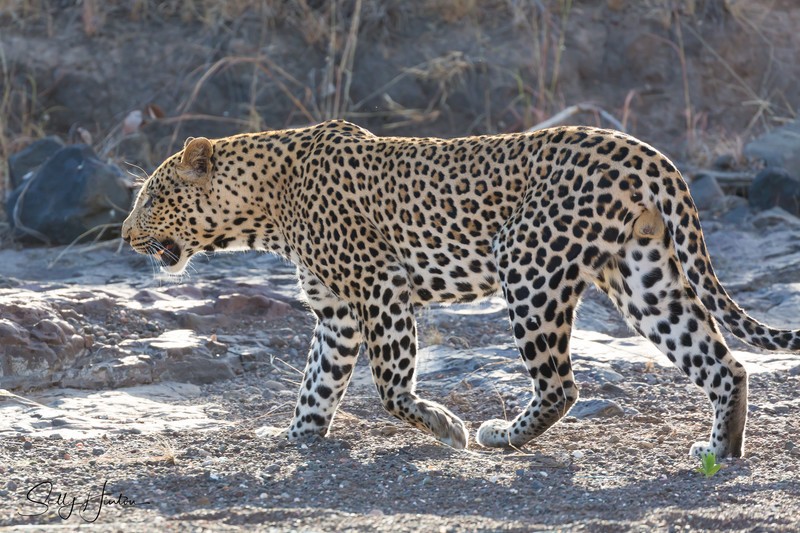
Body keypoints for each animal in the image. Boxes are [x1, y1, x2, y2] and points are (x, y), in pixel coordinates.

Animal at [121, 119, 800, 459]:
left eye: (151, 197)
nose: (125, 234)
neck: (264, 206)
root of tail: (648, 154)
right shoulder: (337, 313)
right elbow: (316, 384)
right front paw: (295, 437)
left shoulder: (380, 288)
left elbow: (390, 386)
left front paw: (445, 427)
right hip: (641, 273)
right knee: (723, 363)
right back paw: (720, 452)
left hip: (527, 263)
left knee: (561, 383)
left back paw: (500, 436)